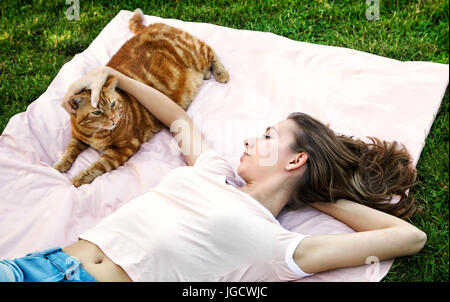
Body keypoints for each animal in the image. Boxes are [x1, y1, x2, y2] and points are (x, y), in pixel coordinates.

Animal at [54, 8, 229, 186]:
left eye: (112, 104)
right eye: (97, 112)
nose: (113, 119)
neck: (96, 134)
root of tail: (149, 28)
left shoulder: (124, 148)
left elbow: (99, 165)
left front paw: (80, 178)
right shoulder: (78, 137)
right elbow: (70, 150)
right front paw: (60, 165)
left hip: (194, 55)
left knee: (209, 50)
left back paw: (221, 74)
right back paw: (207, 74)